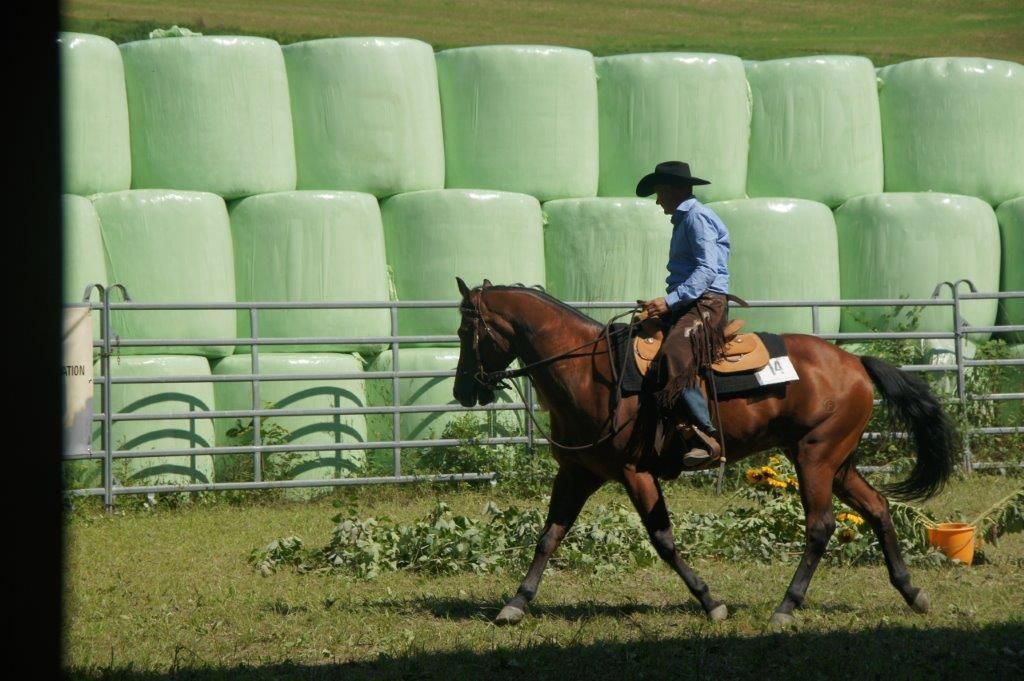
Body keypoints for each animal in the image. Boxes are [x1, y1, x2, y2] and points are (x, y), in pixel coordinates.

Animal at [452, 278, 956, 627]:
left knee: (820, 527)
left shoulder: (635, 472)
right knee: (878, 508)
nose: (461, 392)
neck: (589, 372)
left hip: (815, 459)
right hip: (837, 462)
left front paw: (711, 602)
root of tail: (855, 362)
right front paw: (516, 603)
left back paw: (786, 607)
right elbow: (548, 537)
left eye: (464, 330)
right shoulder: (577, 474)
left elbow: (663, 540)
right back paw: (912, 592)